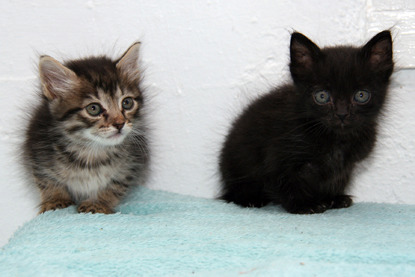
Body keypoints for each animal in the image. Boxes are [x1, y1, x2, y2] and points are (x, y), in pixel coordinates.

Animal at [23, 42, 150, 213]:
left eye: (127, 103)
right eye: (93, 108)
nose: (119, 123)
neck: (92, 151)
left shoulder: (129, 167)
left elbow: (114, 187)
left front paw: (98, 204)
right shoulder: (39, 157)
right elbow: (48, 181)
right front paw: (56, 200)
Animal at [219, 30, 394, 213]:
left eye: (361, 95)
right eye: (322, 96)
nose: (342, 114)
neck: (336, 140)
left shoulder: (345, 166)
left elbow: (332, 180)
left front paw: (331, 198)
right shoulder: (279, 156)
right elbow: (285, 182)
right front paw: (304, 205)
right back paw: (250, 199)